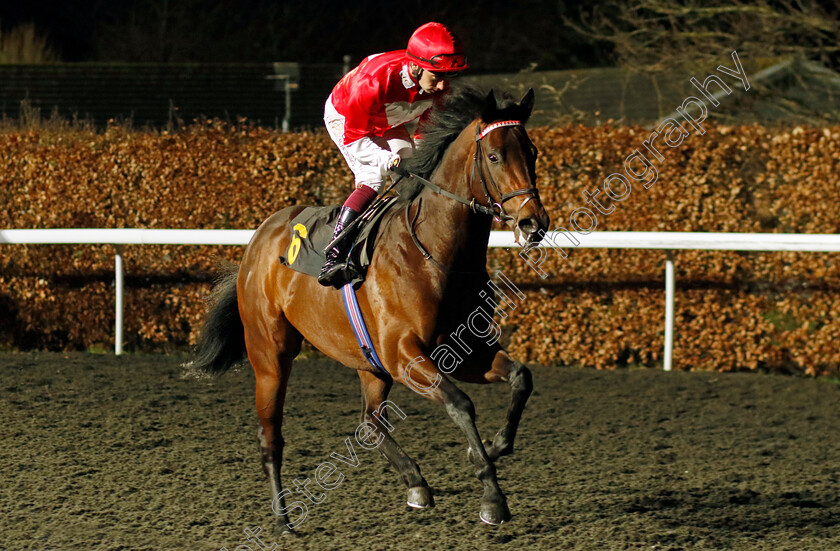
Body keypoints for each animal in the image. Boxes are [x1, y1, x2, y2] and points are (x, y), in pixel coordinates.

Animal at [192, 86, 552, 532]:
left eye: (532, 151)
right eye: (495, 156)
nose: (533, 223)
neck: (435, 253)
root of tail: (259, 237)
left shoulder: (464, 350)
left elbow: (521, 378)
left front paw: (494, 446)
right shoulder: (404, 356)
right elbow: (461, 404)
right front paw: (492, 496)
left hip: (369, 363)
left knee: (369, 421)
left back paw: (416, 484)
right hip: (270, 355)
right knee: (271, 437)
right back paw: (282, 518)